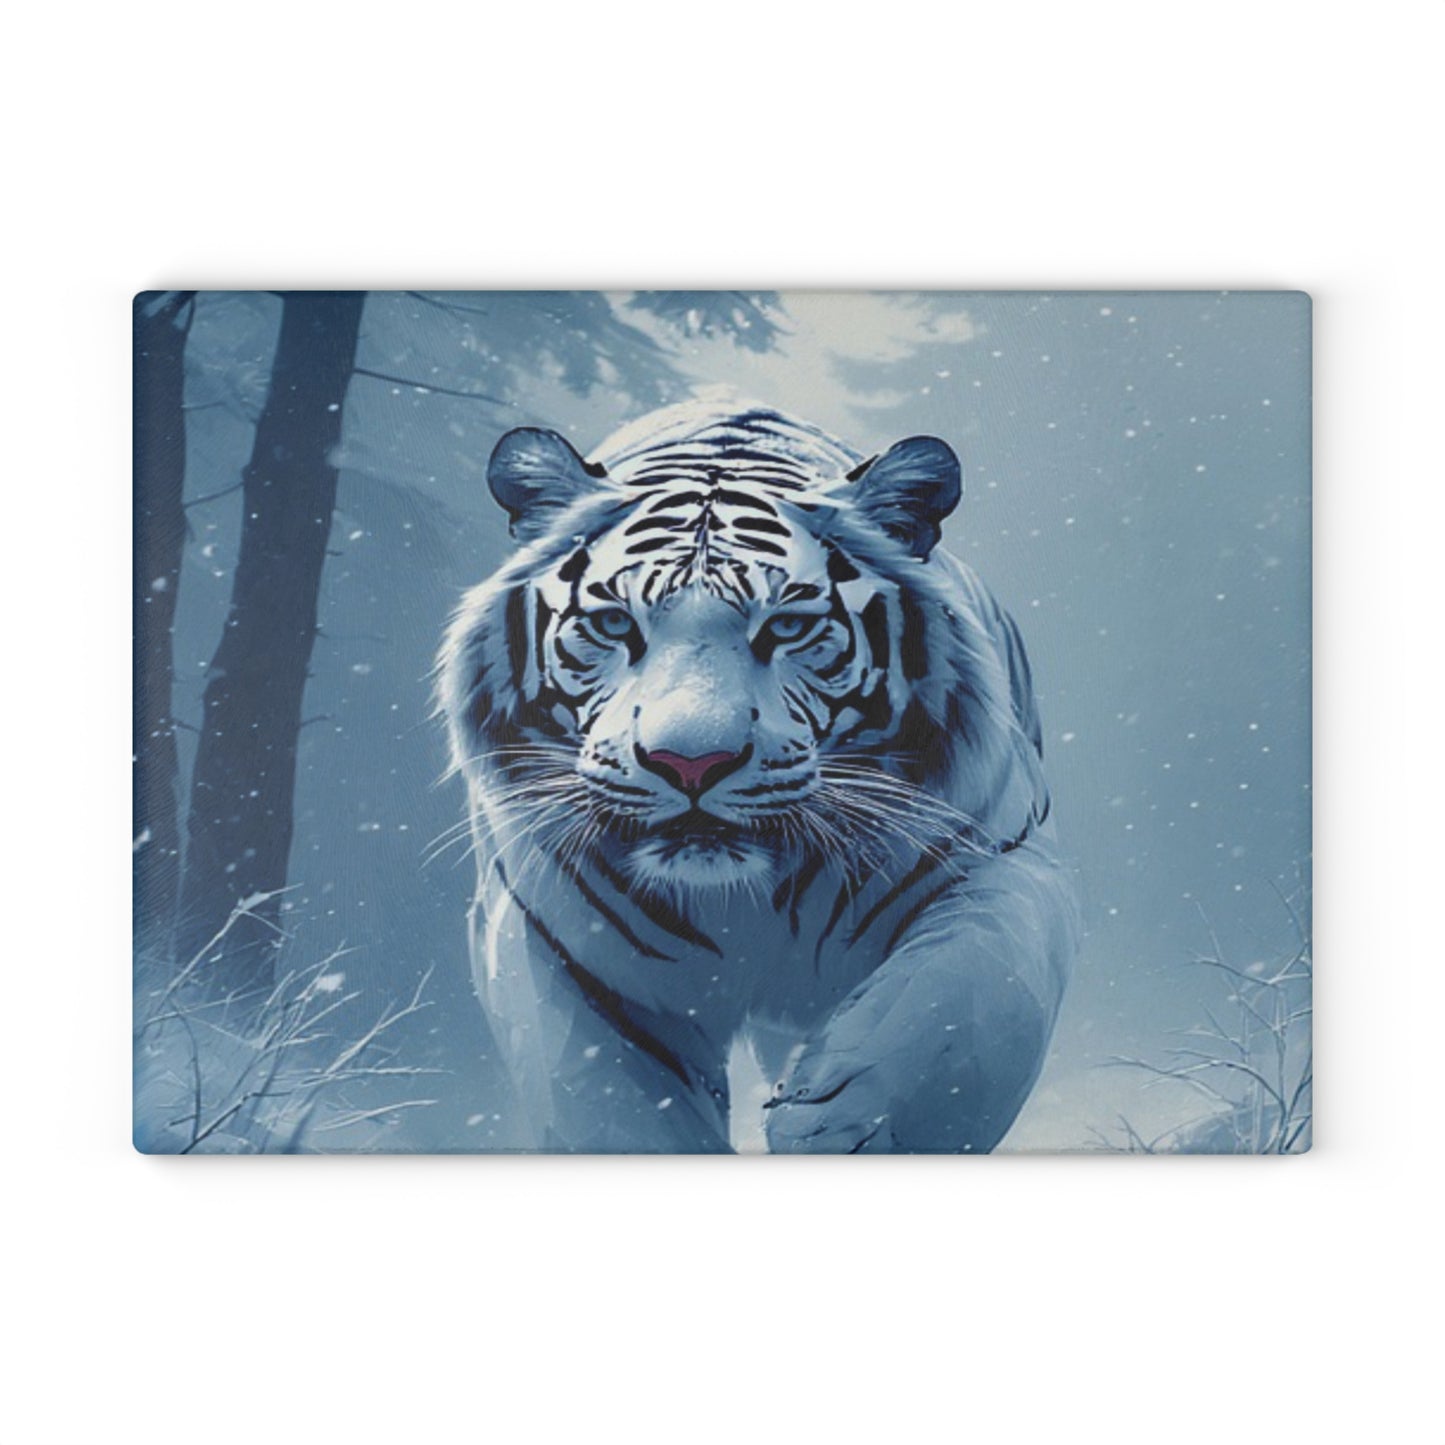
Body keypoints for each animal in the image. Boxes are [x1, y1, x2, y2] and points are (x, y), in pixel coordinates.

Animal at [437, 399, 1080, 1153]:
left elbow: (958, 1007)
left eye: (790, 626)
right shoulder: (548, 938)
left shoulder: (1004, 859)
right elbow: (611, 1110)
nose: (690, 762)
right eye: (614, 624)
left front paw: (835, 1126)